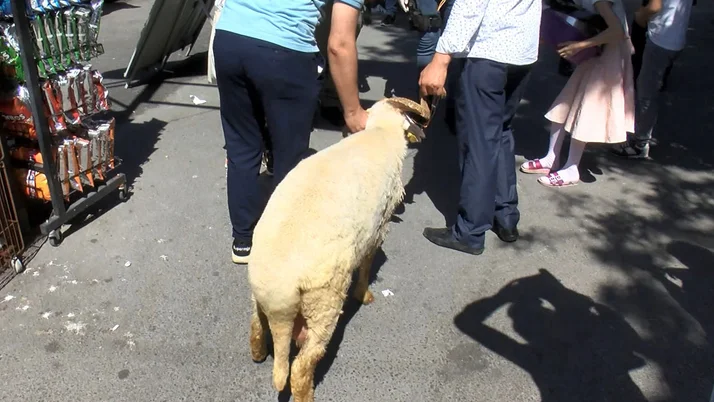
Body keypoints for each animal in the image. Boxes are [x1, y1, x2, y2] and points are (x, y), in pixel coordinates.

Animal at [248, 96, 432, 402]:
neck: (380, 131)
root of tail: (279, 297)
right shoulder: (378, 228)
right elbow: (368, 263)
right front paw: (364, 295)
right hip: (323, 304)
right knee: (301, 367)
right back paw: (307, 395)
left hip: (259, 295)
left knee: (255, 326)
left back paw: (259, 354)